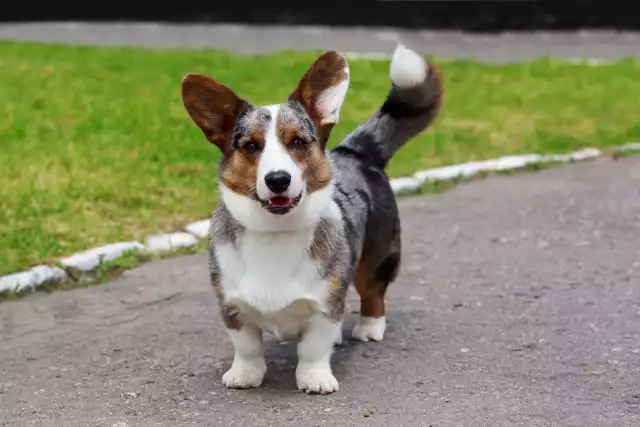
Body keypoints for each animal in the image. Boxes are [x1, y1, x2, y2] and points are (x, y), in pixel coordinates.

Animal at [179, 43, 440, 394]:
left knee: (373, 292)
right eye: (251, 146)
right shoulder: (232, 306)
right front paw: (244, 375)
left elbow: (313, 347)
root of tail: (355, 152)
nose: (278, 180)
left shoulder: (324, 306)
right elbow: (247, 346)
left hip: (378, 255)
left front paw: (315, 378)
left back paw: (369, 328)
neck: (275, 233)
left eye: (297, 142)